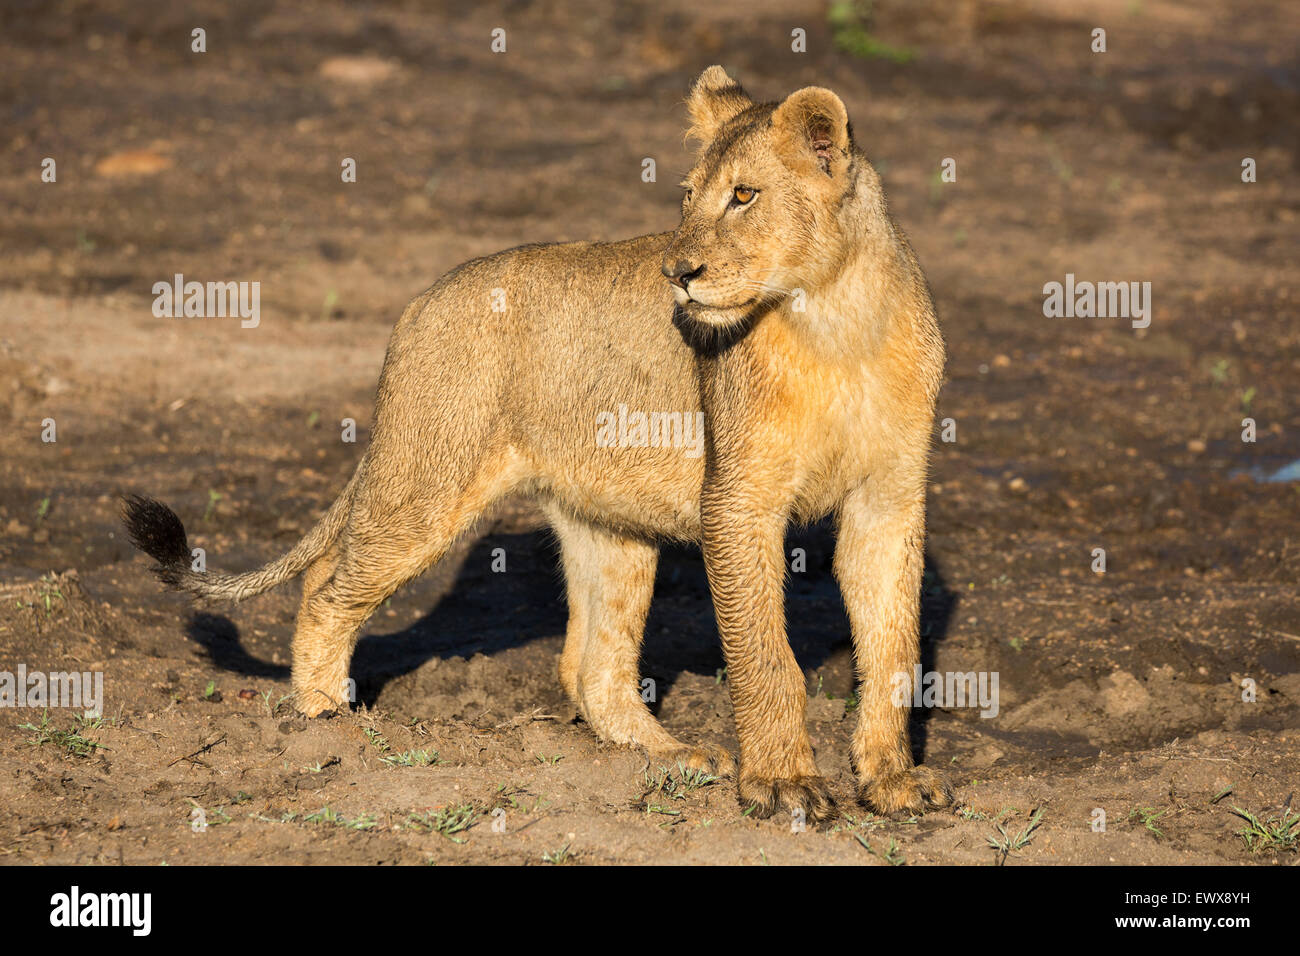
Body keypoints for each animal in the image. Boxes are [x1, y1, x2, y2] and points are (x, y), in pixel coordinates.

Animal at [123, 66, 951, 820]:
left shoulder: (888, 502)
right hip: (429, 481)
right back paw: (328, 722)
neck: (835, 318)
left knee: (590, 667)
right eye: (685, 196)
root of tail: (421, 301)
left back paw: (668, 755)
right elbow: (767, 657)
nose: (676, 272)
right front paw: (783, 785)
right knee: (327, 588)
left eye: (744, 196)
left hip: (612, 526)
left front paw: (893, 782)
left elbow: (893, 647)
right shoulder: (738, 502)